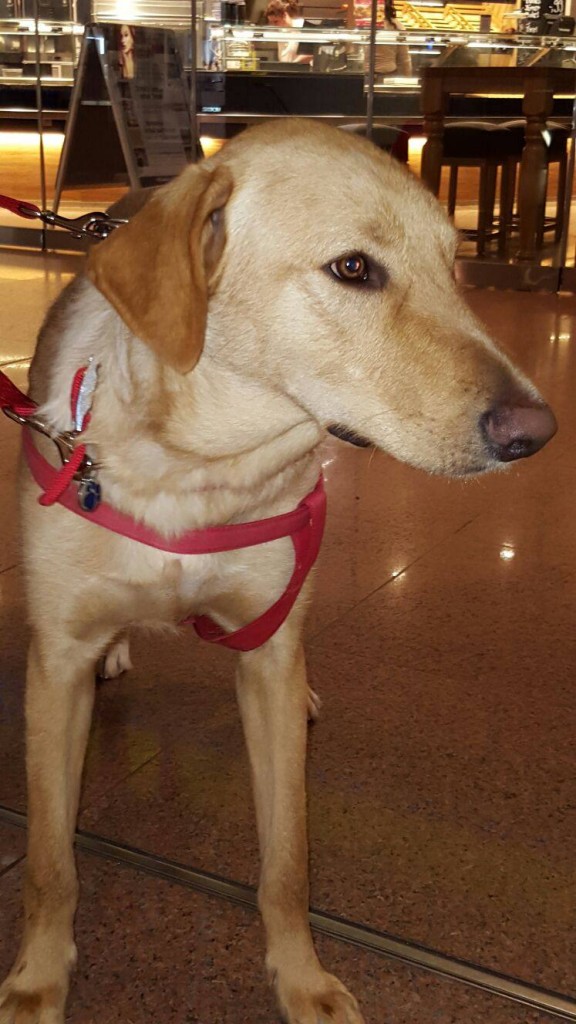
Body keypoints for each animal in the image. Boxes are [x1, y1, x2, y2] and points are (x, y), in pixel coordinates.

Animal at [0, 118, 556, 1024]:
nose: (536, 434)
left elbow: (287, 864)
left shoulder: (265, 656)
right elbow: (52, 864)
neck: (201, 473)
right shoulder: (54, 671)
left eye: (455, 268)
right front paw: (37, 978)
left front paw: (301, 981)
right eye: (354, 268)